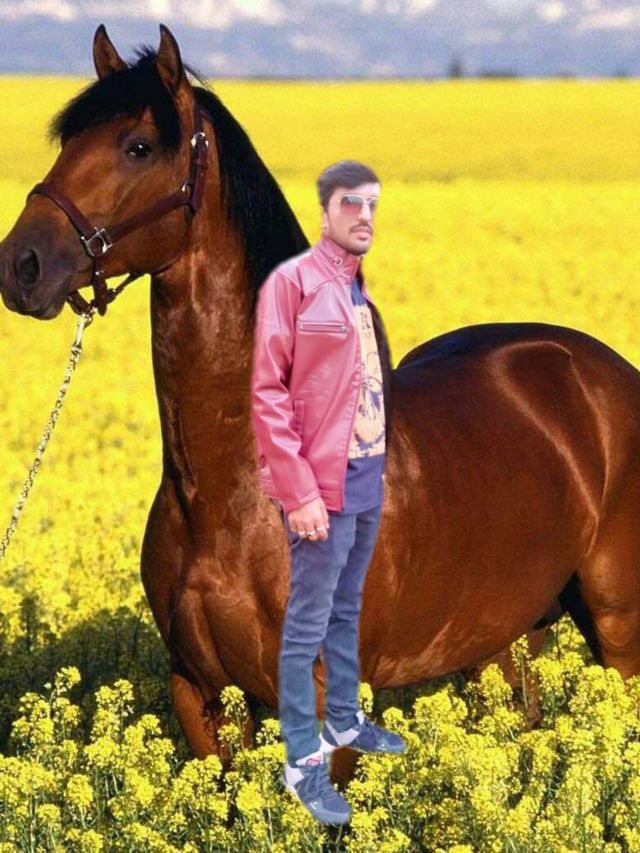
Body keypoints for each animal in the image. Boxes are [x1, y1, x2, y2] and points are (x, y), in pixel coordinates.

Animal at [1, 24, 638, 787]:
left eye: (138, 146)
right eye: (67, 141)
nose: (21, 265)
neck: (232, 491)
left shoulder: (326, 698)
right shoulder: (200, 692)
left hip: (617, 625)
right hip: (503, 637)